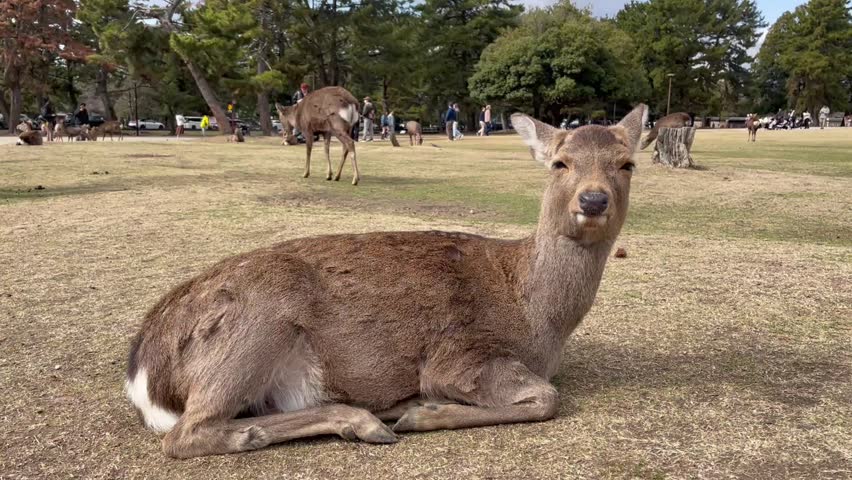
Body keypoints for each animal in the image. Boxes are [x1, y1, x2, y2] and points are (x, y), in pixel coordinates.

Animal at [125, 104, 648, 459]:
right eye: (560, 162)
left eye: (627, 164)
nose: (593, 199)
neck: (538, 319)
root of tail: (143, 374)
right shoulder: (459, 355)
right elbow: (547, 398)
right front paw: (424, 410)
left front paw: (418, 410)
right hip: (257, 321)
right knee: (187, 433)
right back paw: (371, 420)